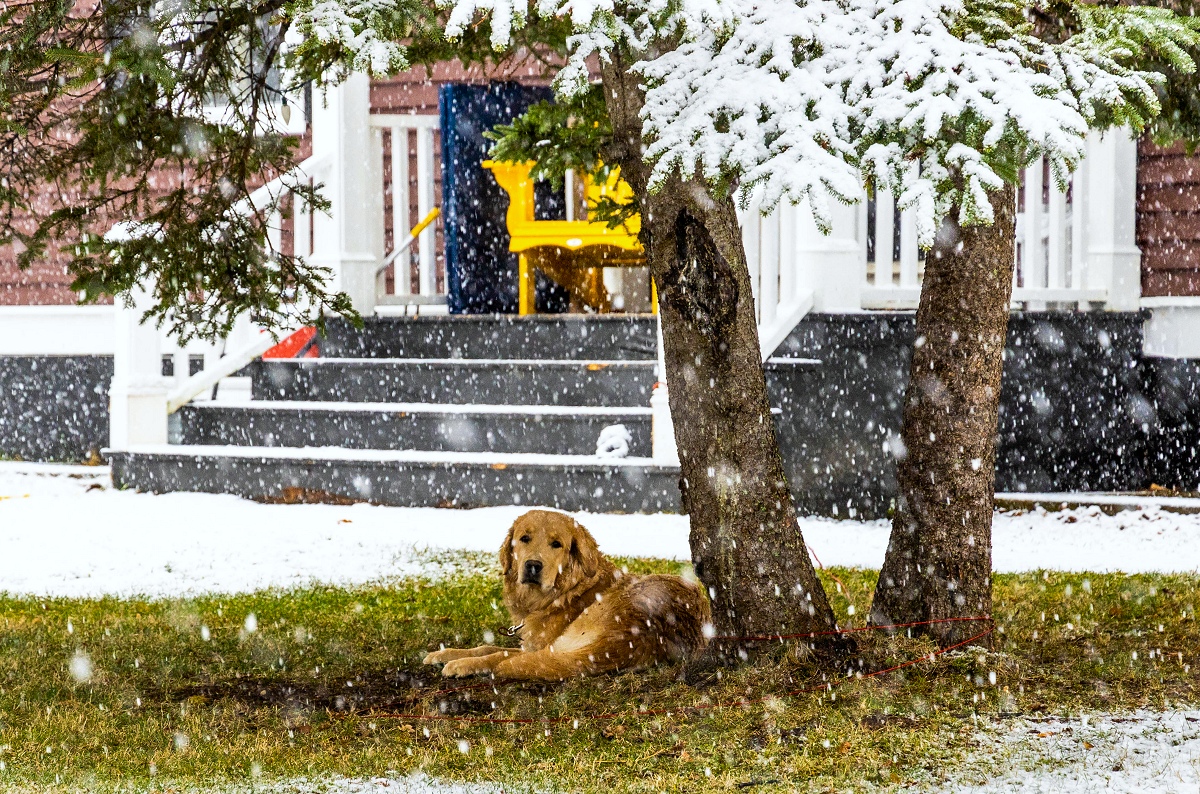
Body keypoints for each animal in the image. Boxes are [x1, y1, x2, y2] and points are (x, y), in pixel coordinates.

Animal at [422, 513, 705, 681]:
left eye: (556, 544)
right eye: (524, 538)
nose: (533, 565)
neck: (566, 591)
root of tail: (647, 635)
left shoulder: (543, 645)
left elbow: (497, 654)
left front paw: (460, 663)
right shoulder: (531, 644)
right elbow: (488, 646)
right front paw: (445, 653)